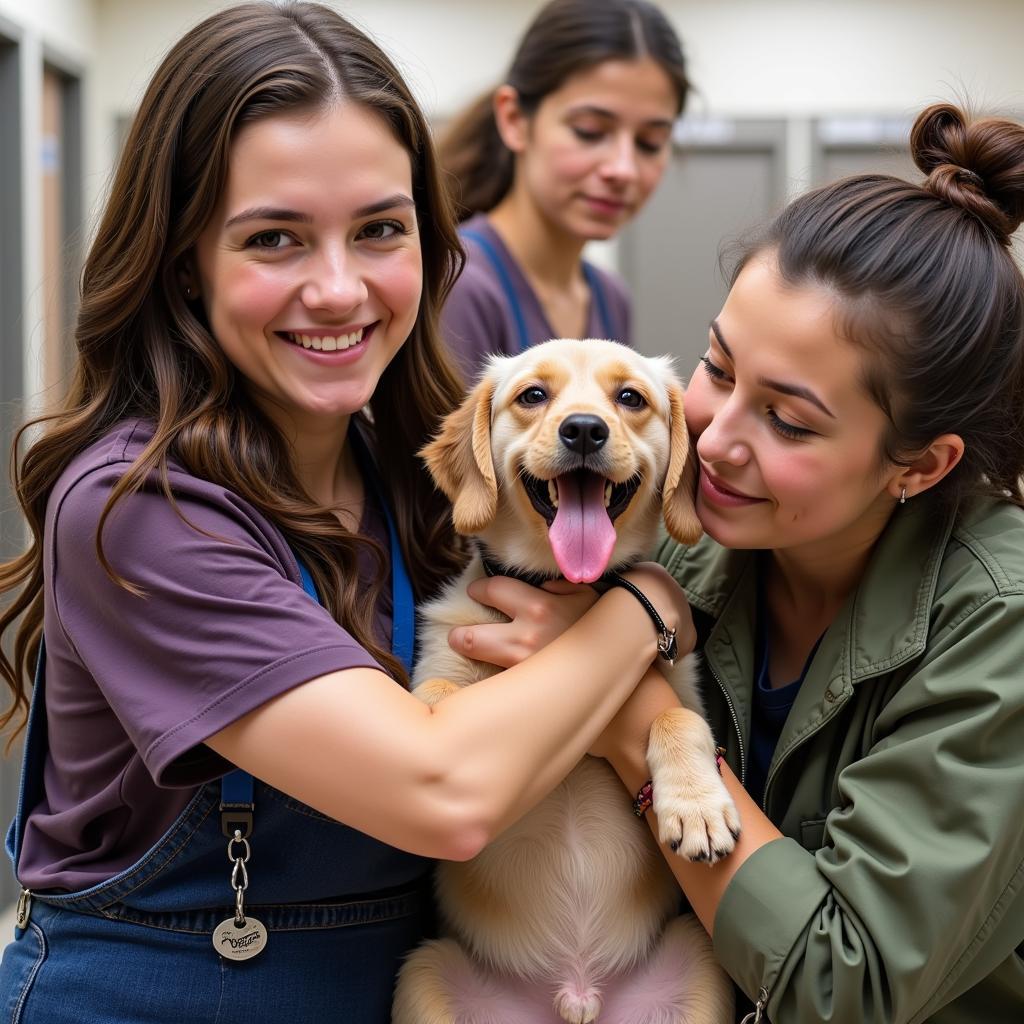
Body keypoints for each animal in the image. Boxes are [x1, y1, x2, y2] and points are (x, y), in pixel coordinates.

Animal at [391, 342, 737, 1024]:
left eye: (630, 398)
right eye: (533, 396)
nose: (583, 430)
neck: (563, 591)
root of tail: (577, 996)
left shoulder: (676, 684)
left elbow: (677, 717)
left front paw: (697, 805)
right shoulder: (445, 661)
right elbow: (438, 695)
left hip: (702, 966)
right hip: (424, 974)